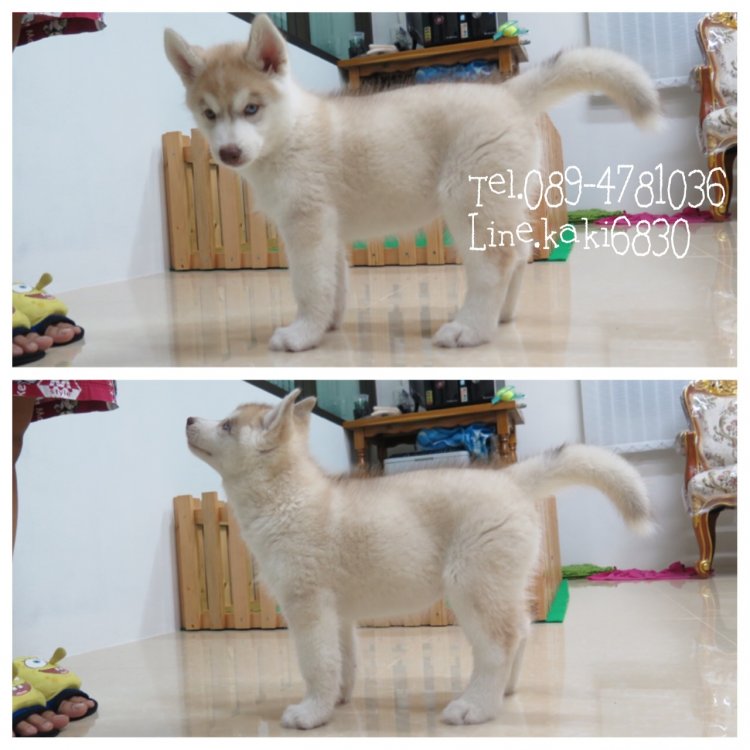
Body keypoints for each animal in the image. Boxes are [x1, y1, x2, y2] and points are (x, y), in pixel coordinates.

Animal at [165, 15, 660, 352]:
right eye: (209, 114)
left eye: (251, 108)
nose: (229, 153)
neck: (290, 131)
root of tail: (505, 92)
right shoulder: (327, 230)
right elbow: (334, 284)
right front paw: (327, 326)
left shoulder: (306, 227)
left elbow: (310, 286)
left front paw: (303, 333)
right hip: (498, 201)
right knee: (518, 253)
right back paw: (500, 316)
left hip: (468, 201)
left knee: (497, 261)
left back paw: (471, 328)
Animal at [186, 389, 653, 729]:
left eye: (227, 426)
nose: (189, 420)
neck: (288, 496)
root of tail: (507, 479)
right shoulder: (337, 613)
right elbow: (342, 660)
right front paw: (338, 699)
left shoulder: (307, 606)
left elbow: (316, 663)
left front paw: (311, 712)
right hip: (499, 584)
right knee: (520, 630)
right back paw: (503, 690)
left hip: (471, 586)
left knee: (500, 642)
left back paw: (475, 706)